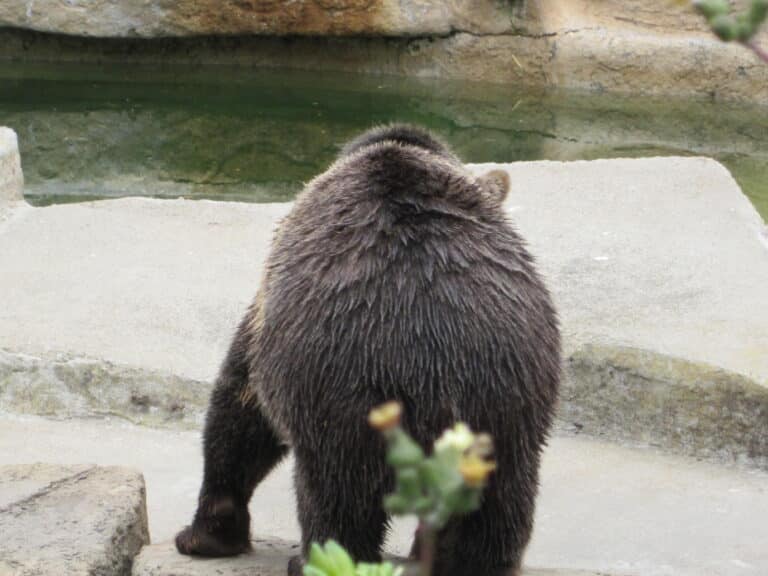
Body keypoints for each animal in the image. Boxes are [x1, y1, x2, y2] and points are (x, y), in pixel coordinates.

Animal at [175, 124, 561, 576]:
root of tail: (437, 371)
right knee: (496, 515)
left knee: (337, 501)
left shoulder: (269, 312)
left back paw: (313, 558)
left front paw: (205, 534)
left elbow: (241, 406)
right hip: (505, 402)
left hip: (344, 395)